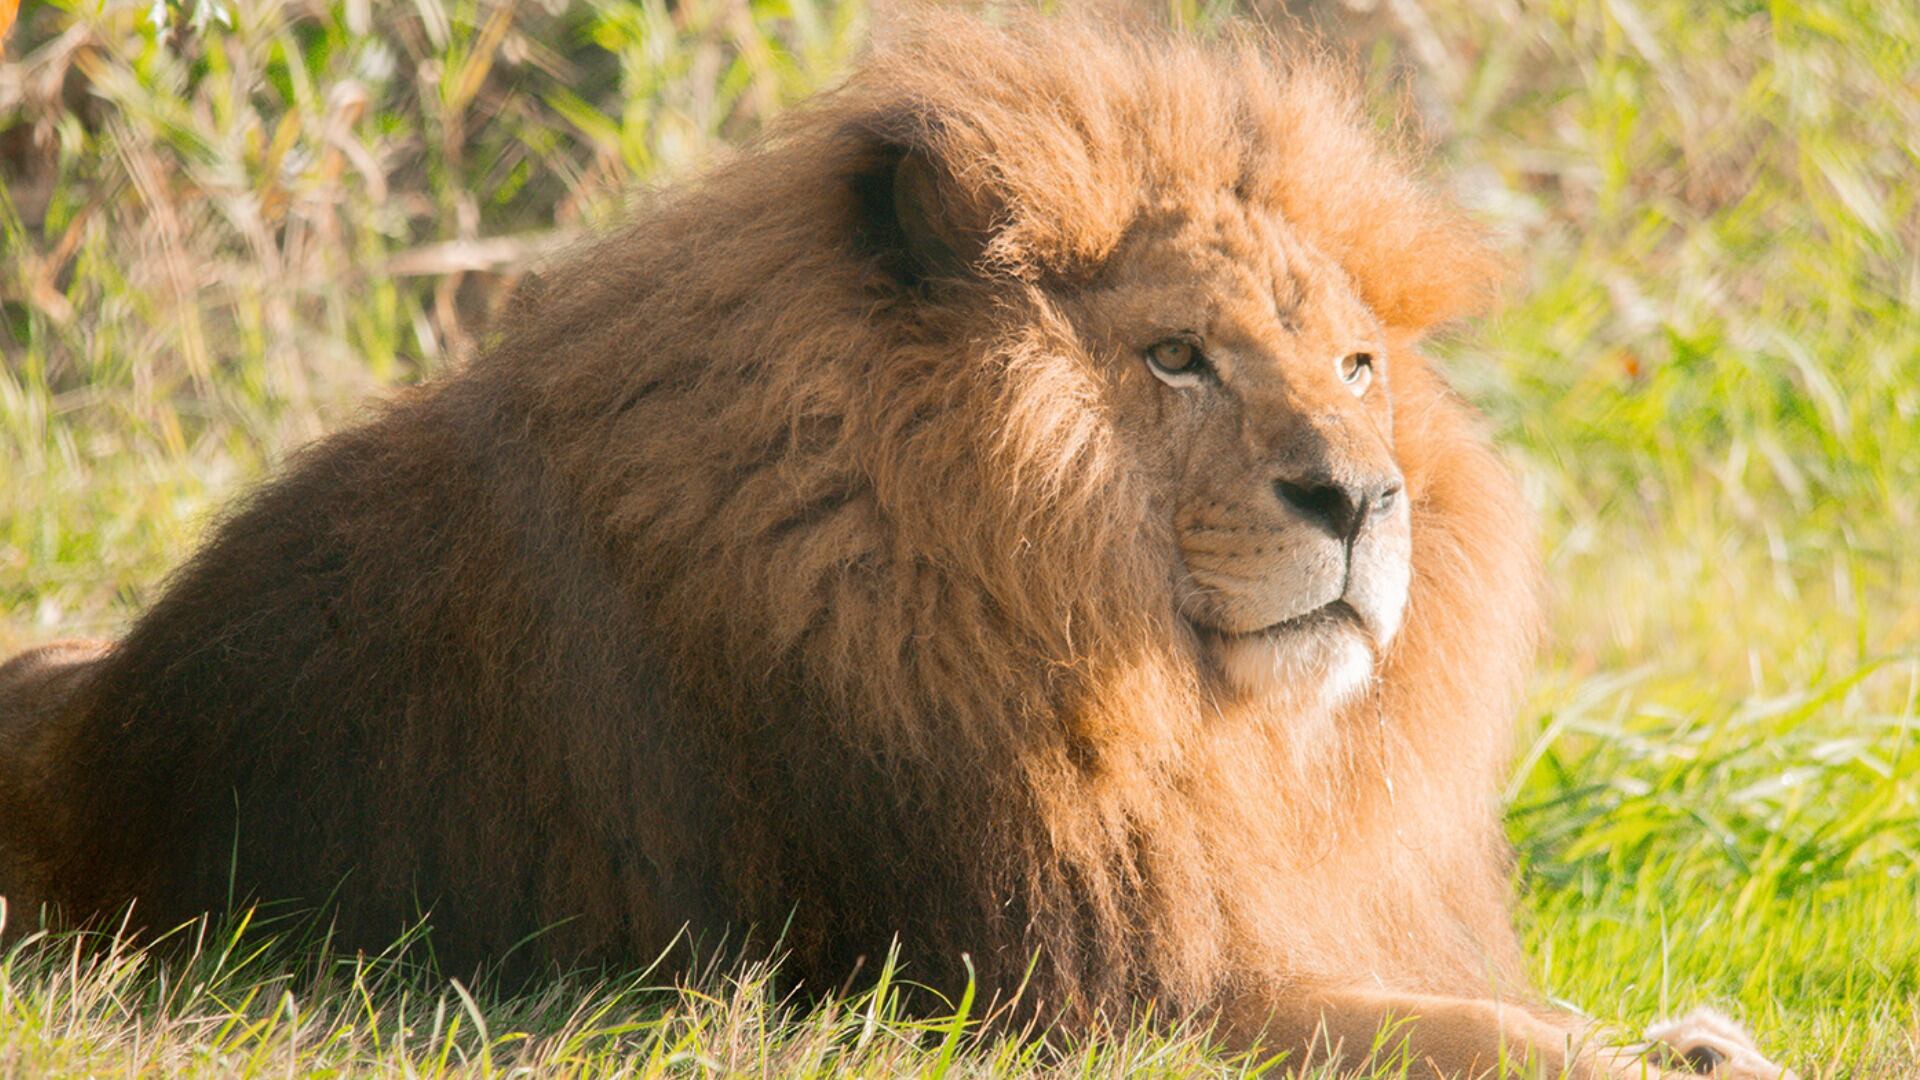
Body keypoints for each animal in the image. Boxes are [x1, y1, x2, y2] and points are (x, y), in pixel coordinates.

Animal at [0, 13, 1794, 1078]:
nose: (1360, 498)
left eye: (1357, 366)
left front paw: (1700, 1035)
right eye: (1177, 359)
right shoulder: (1062, 986)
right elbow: (1462, 1034)